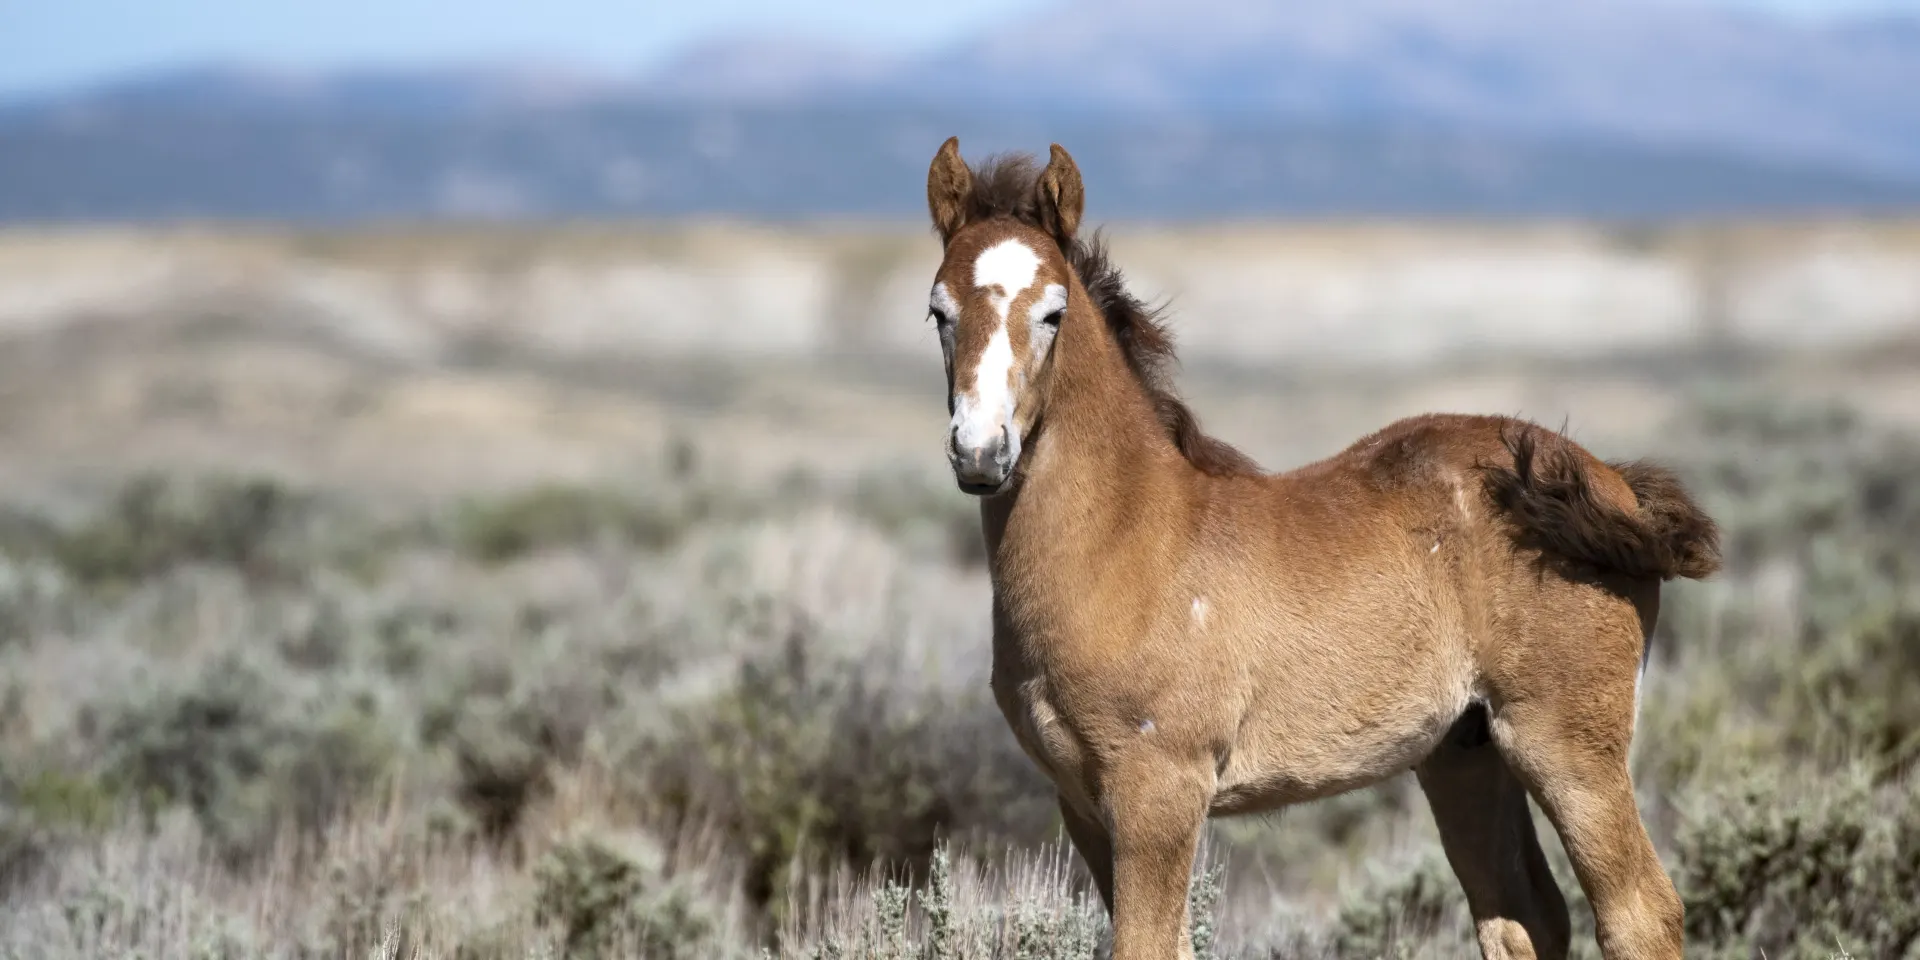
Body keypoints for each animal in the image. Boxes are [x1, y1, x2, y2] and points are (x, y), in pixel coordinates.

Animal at [917, 137, 1721, 960]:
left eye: (1053, 312)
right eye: (938, 311)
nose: (980, 452)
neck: (1124, 538)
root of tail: (1608, 486)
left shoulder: (1158, 792)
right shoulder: (1081, 803)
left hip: (1565, 744)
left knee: (1639, 911)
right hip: (1467, 754)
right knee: (1524, 916)